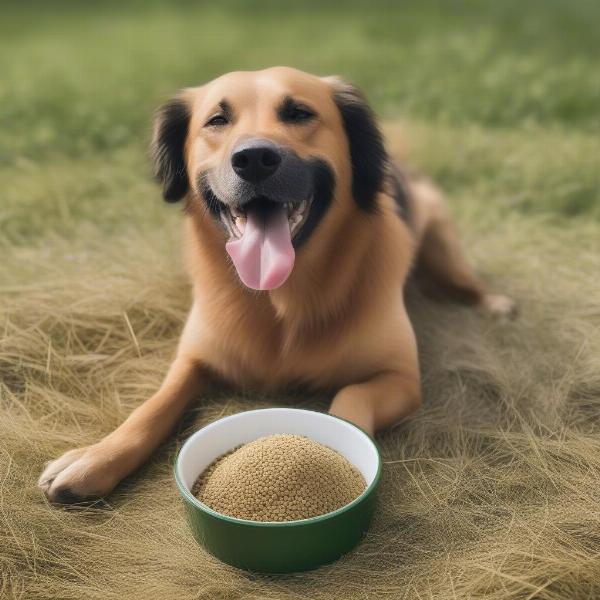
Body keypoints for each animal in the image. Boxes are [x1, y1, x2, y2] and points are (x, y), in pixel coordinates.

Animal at [38, 65, 516, 504]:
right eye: (217, 120)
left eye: (299, 113)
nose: (254, 160)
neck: (280, 302)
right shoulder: (193, 358)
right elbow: (153, 406)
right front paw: (95, 457)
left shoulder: (399, 378)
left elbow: (349, 401)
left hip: (442, 242)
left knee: (465, 282)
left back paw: (495, 303)